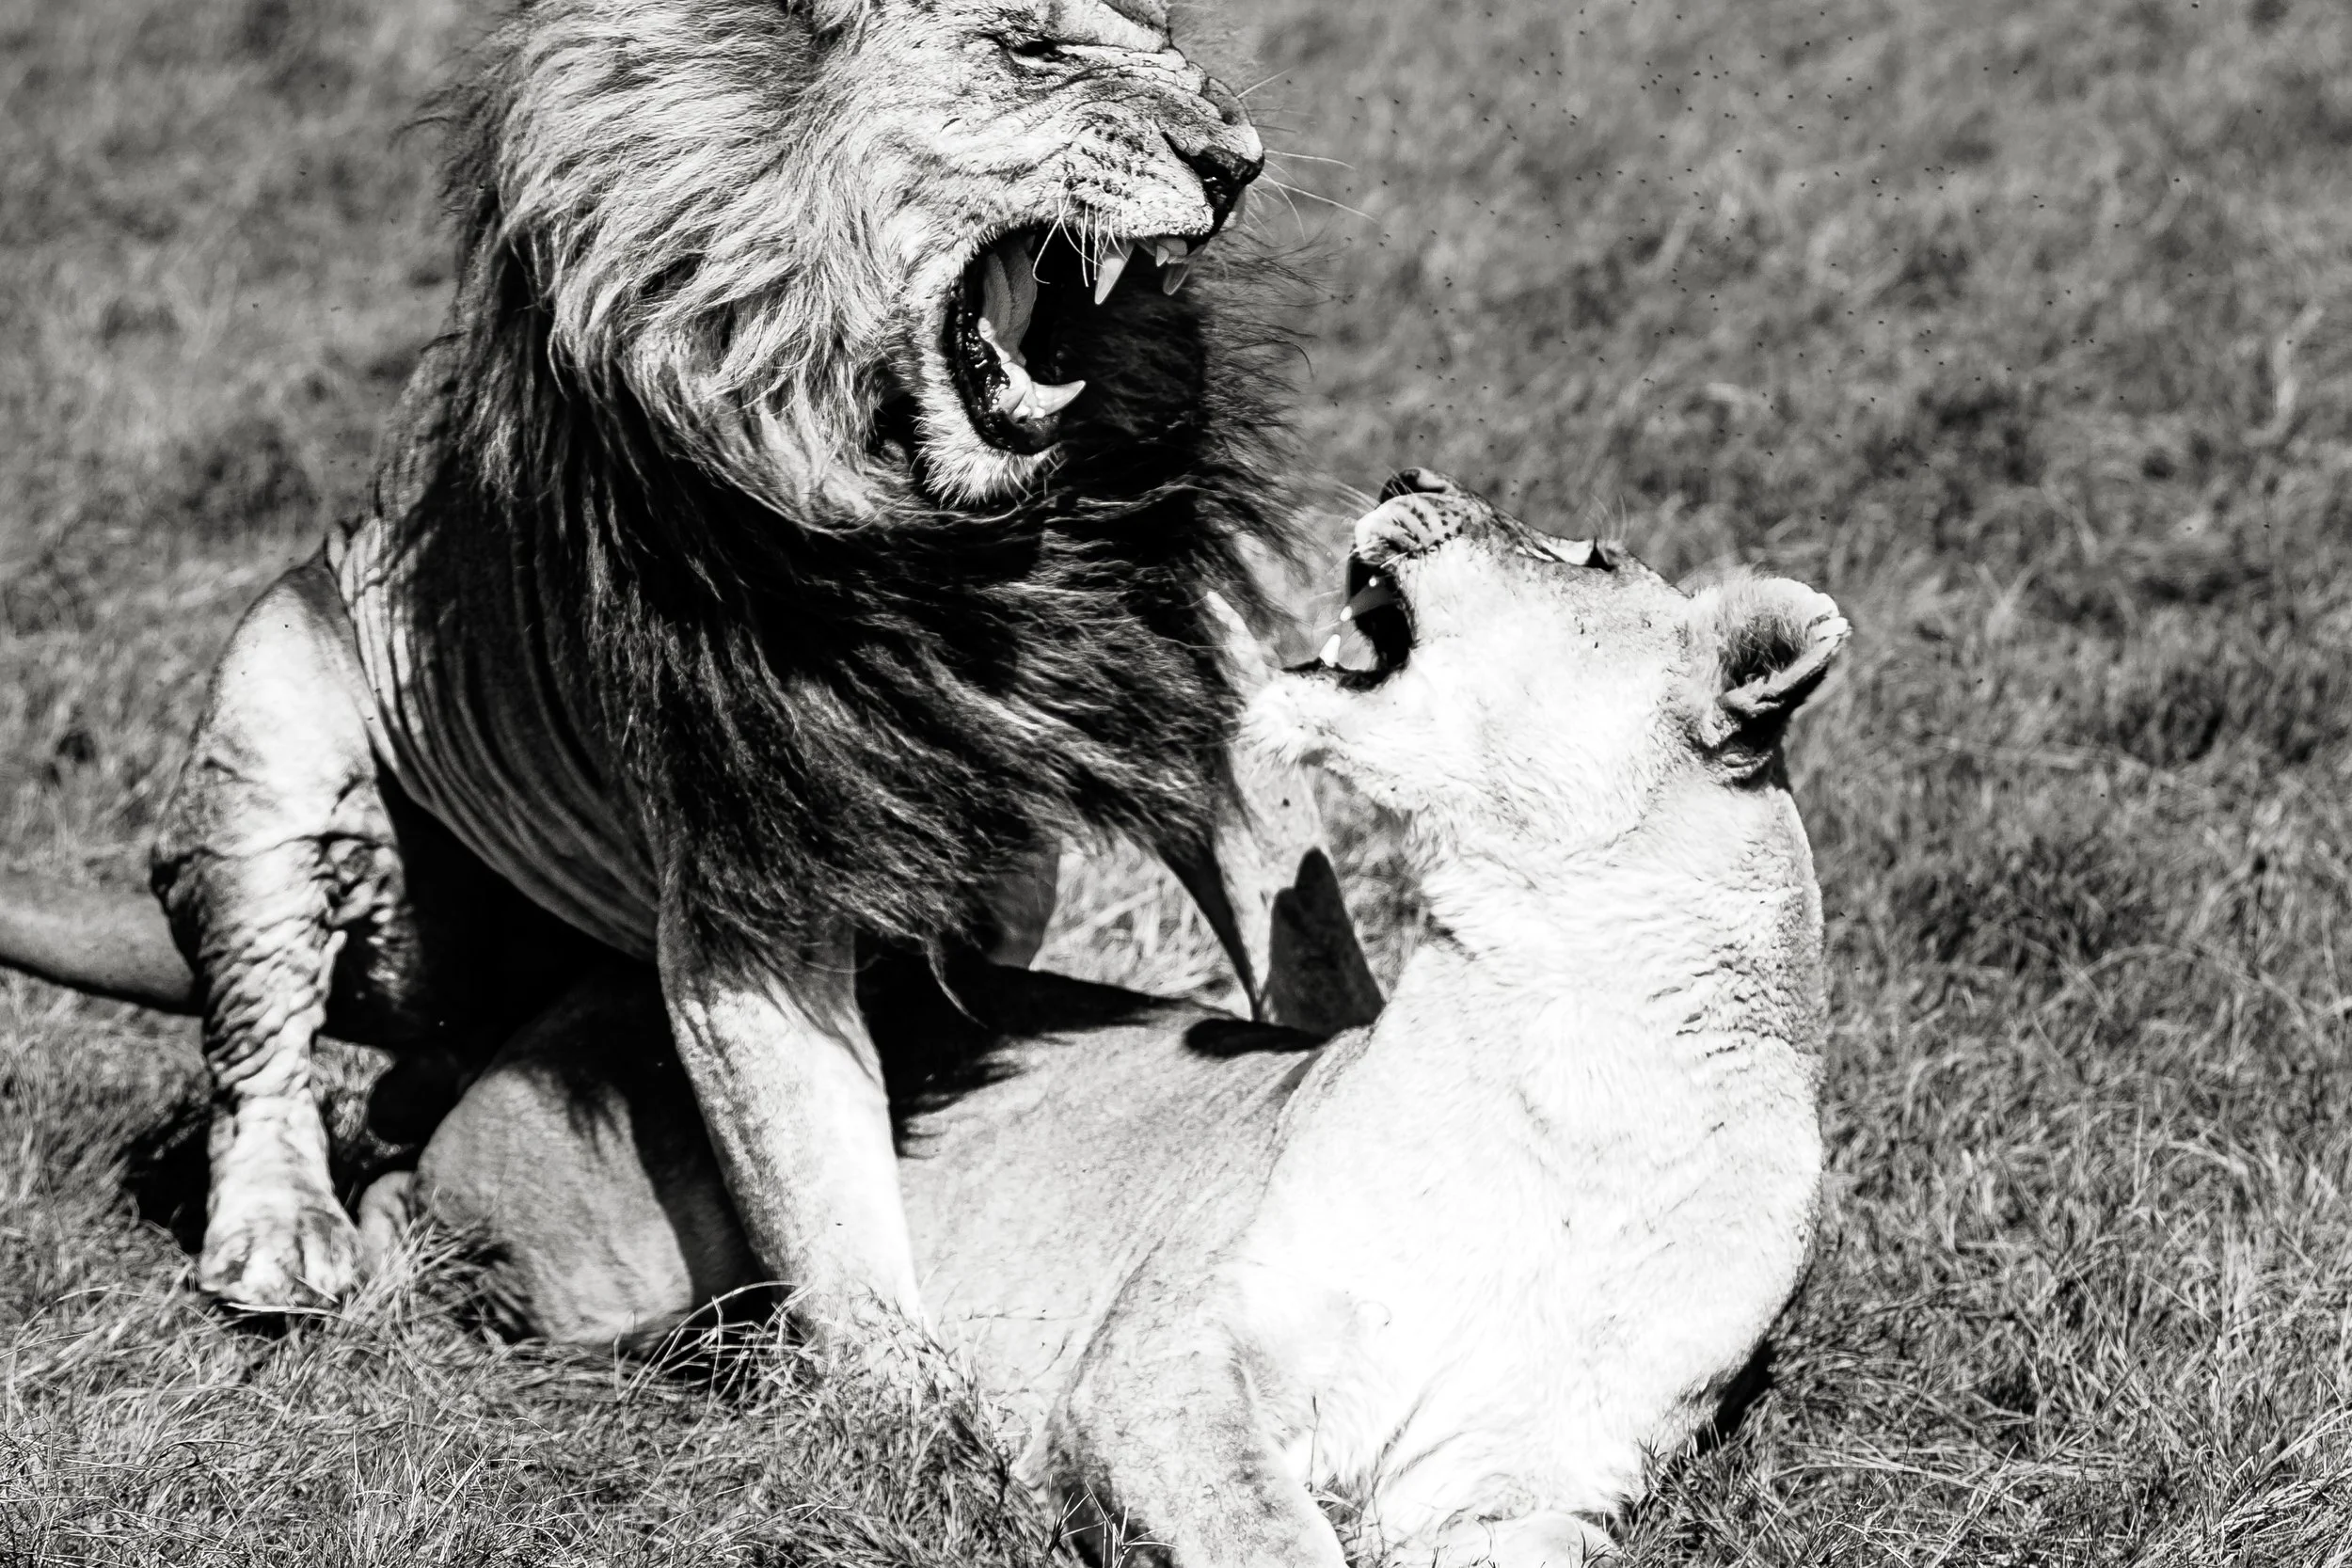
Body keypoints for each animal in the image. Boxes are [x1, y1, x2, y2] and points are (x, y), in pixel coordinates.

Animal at [0, 0, 1386, 1333]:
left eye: (1179, 54)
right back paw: (283, 1235)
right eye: (1033, 49)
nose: (1239, 162)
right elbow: (828, 1216)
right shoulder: (750, 864)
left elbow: (1317, 956)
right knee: (264, 1044)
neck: (945, 527)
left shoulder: (1200, 691)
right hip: (275, 703)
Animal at [354, 472, 1850, 1564]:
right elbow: (1271, 1536)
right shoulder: (1168, 1359)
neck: (1571, 1070)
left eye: (1591, 557)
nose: (1408, 475)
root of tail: (554, 1003)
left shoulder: (1523, 1486)